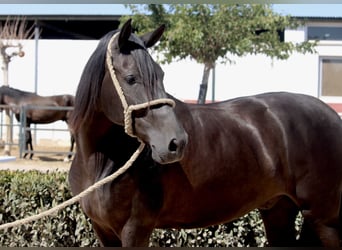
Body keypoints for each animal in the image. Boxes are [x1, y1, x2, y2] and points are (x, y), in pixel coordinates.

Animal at [68, 19, 342, 246]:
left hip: (324, 220)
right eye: (131, 78)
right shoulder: (103, 230)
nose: (176, 143)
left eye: (161, 75)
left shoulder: (135, 230)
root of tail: (332, 116)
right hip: (279, 211)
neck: (101, 161)